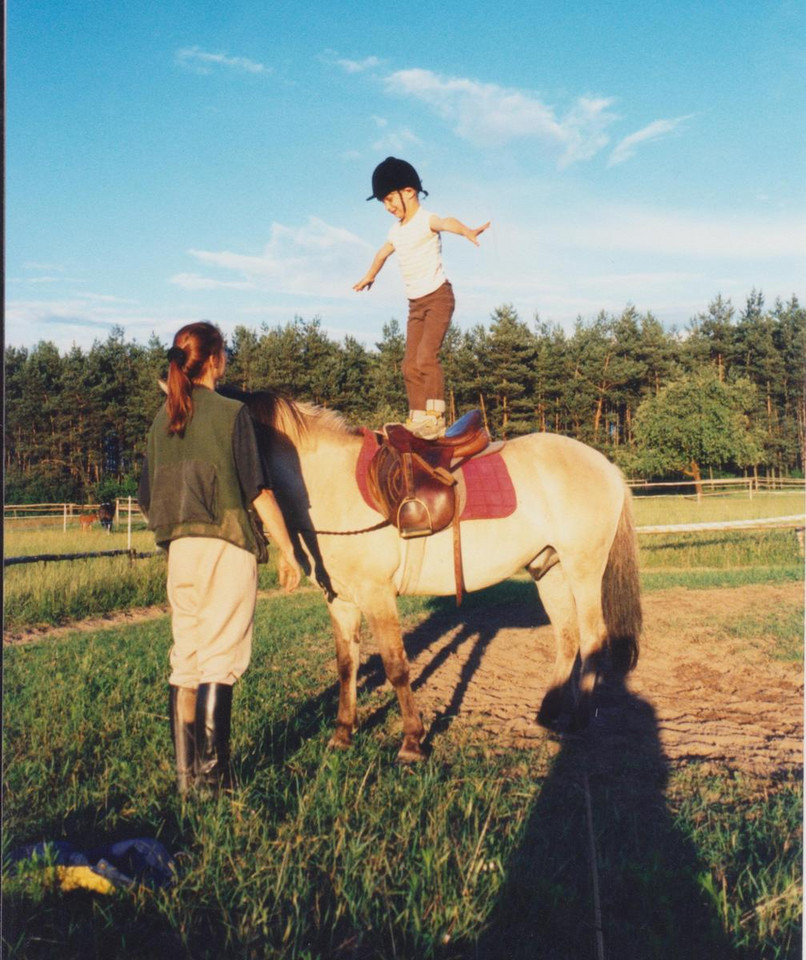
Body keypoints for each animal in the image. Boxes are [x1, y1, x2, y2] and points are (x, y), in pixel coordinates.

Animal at [224, 386, 640, 760]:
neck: (333, 486)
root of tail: (606, 466)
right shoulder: (340, 600)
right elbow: (346, 666)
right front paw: (342, 734)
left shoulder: (377, 595)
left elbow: (396, 666)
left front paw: (412, 741)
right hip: (548, 570)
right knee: (568, 637)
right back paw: (546, 714)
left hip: (584, 569)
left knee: (592, 637)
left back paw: (579, 720)